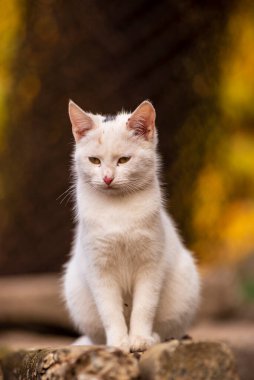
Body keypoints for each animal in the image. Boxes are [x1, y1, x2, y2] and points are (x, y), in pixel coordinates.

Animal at [62, 99, 199, 352]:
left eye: (124, 160)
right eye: (94, 160)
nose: (107, 178)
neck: (118, 210)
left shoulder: (151, 266)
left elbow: (144, 307)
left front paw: (140, 339)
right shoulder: (99, 268)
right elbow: (110, 311)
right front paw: (118, 343)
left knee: (169, 332)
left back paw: (153, 337)